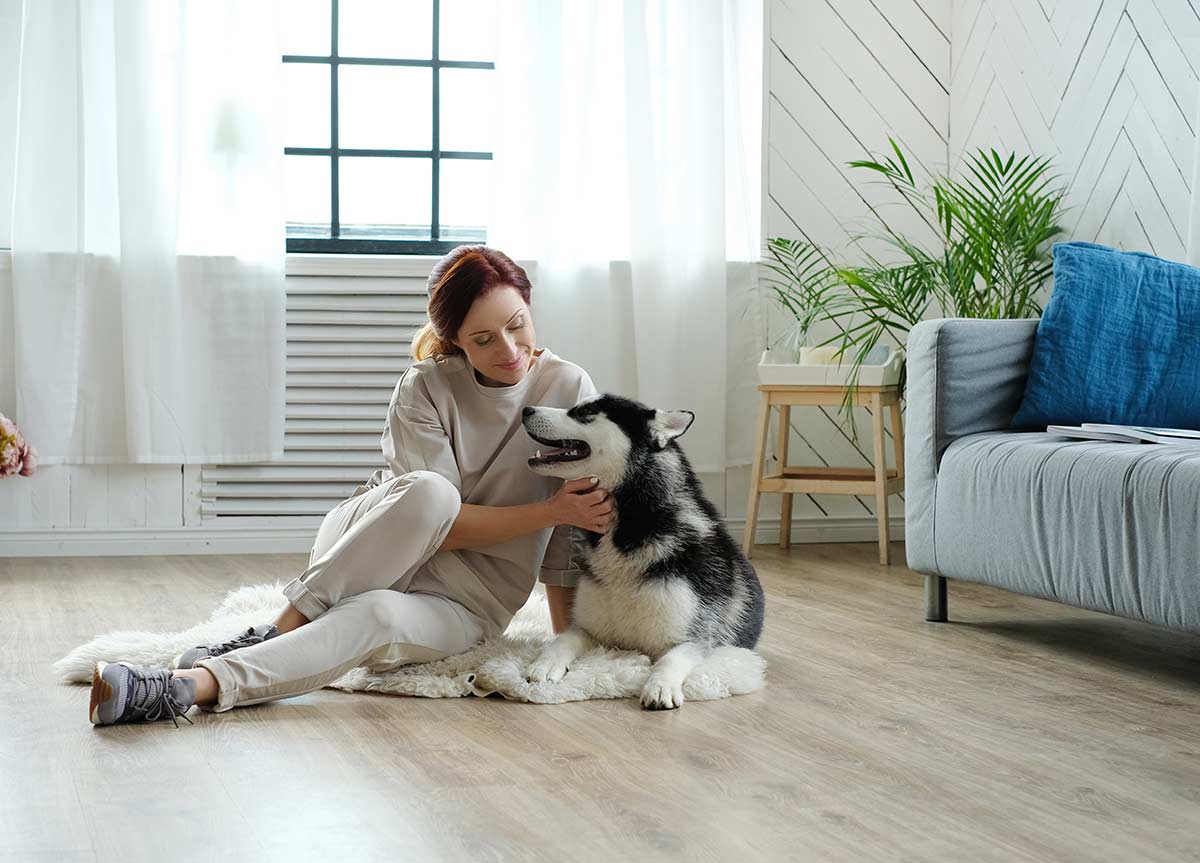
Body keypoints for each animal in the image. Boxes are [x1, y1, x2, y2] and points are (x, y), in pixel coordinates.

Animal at [520, 396, 763, 710]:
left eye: (586, 412)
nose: (526, 409)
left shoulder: (693, 639)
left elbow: (671, 659)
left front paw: (660, 686)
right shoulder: (589, 630)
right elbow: (562, 640)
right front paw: (545, 663)